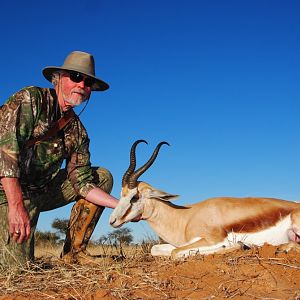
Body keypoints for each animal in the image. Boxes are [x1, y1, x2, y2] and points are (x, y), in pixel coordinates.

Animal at [109, 141, 300, 258]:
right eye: (121, 194)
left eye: (135, 197)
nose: (112, 221)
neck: (185, 217)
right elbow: (157, 249)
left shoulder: (212, 239)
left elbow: (175, 254)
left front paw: (240, 246)